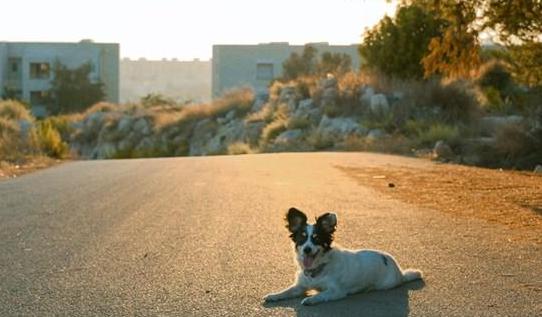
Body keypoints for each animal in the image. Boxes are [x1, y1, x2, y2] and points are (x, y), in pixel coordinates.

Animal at [264, 206, 424, 304]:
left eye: (317, 239)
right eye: (302, 238)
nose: (307, 250)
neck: (317, 269)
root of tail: (399, 271)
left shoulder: (336, 292)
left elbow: (321, 294)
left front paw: (311, 299)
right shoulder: (299, 286)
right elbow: (286, 291)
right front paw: (273, 295)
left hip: (385, 284)